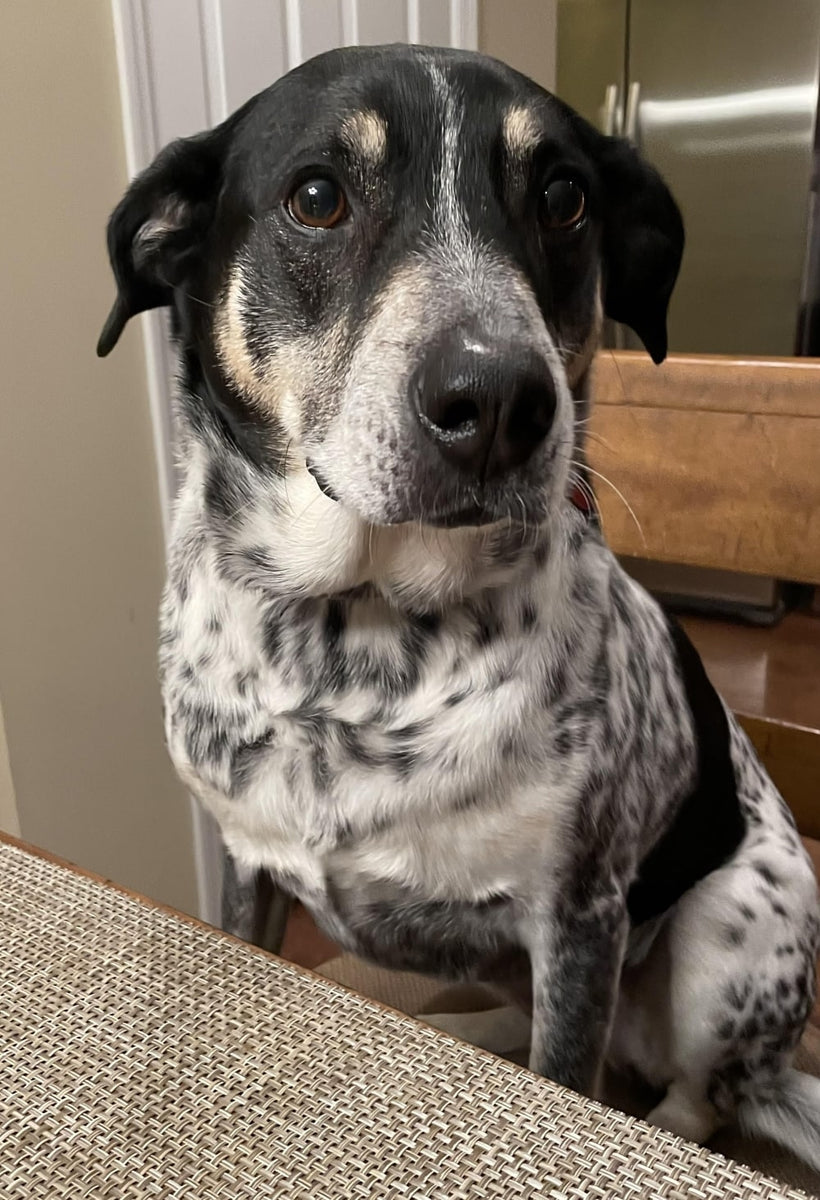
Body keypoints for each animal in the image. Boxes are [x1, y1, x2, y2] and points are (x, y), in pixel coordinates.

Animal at [97, 46, 820, 1161]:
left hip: (734, 930)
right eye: (317, 197)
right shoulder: (245, 866)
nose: (499, 404)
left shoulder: (579, 921)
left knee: (690, 1097)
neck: (349, 641)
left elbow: (566, 1078)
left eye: (564, 198)